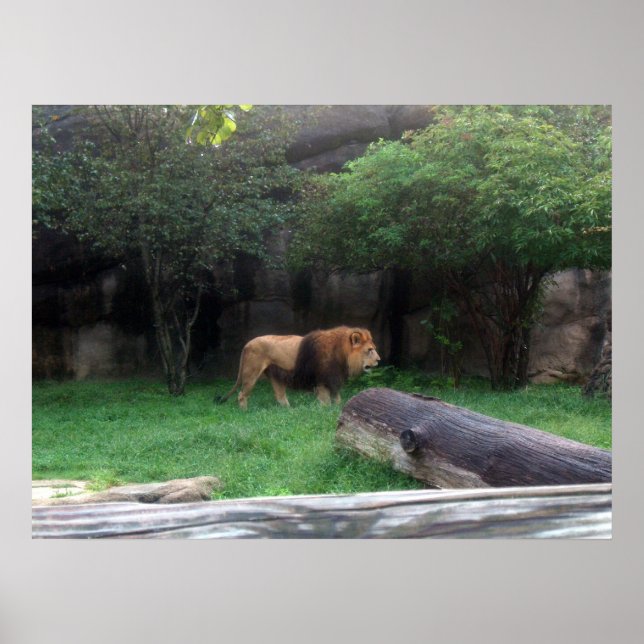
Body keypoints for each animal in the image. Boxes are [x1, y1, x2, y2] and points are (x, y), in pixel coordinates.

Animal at [216, 326, 380, 410]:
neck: (342, 353)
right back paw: (245, 412)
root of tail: (247, 344)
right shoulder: (322, 380)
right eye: (370, 350)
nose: (379, 360)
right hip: (251, 373)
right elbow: (326, 401)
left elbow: (338, 399)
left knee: (280, 396)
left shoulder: (333, 379)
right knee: (241, 395)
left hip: (275, 374)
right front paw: (325, 411)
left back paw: (288, 411)